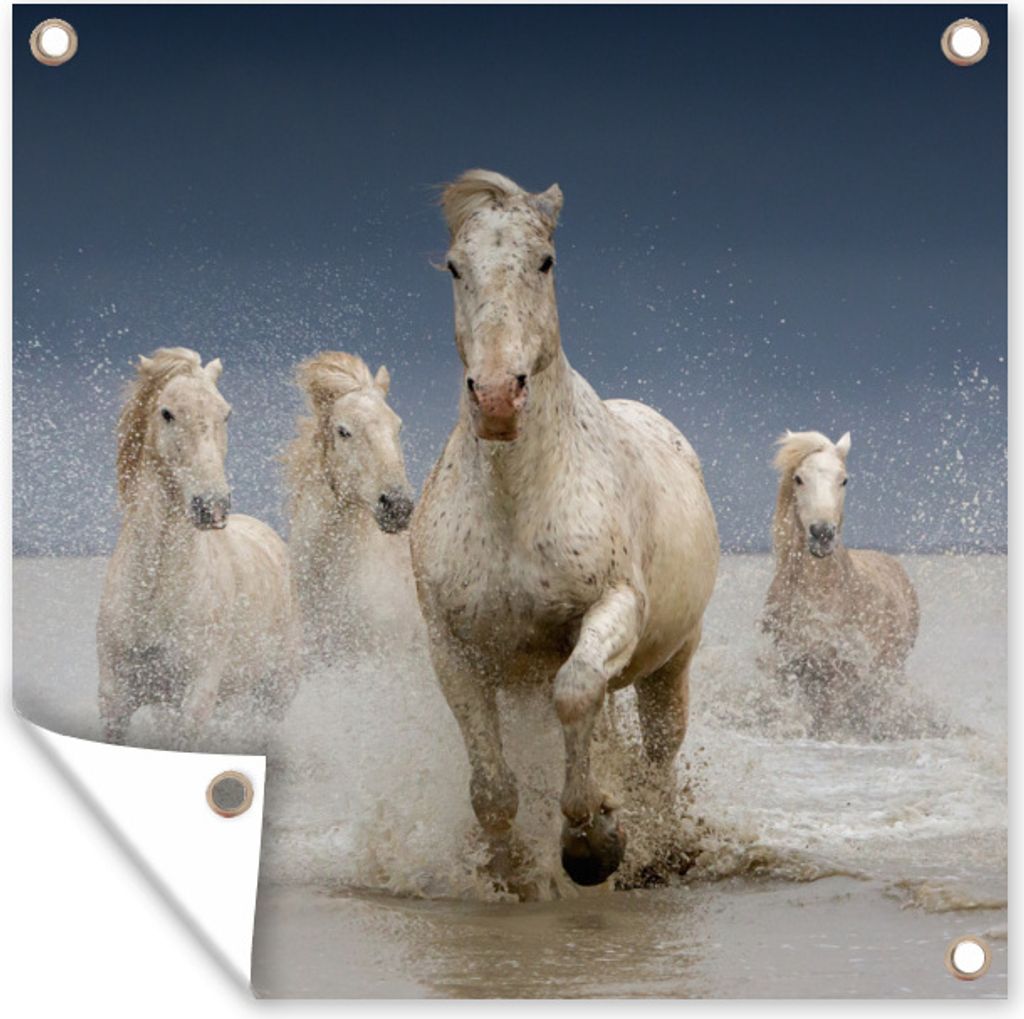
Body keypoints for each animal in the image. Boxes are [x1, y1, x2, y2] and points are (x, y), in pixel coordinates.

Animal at [97, 348, 299, 748]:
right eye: (167, 412)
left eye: (226, 413)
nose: (212, 506)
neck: (155, 593)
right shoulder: (115, 701)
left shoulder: (195, 700)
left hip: (275, 694)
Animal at [410, 169, 719, 889]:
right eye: (455, 267)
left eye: (545, 261)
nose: (498, 398)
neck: (517, 504)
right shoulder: (454, 649)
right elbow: (492, 788)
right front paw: (510, 870)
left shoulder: (612, 607)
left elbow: (576, 695)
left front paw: (593, 843)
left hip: (673, 659)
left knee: (658, 748)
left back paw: (658, 846)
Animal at [761, 430, 920, 738]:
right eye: (798, 478)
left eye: (844, 479)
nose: (822, 534)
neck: (821, 592)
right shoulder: (791, 664)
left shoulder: (841, 673)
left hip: (890, 671)